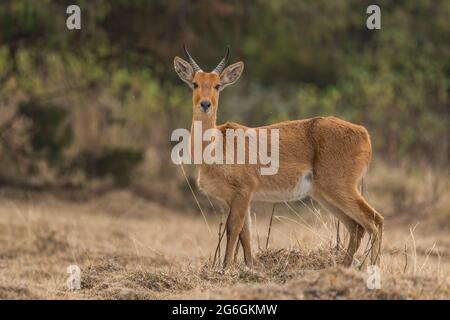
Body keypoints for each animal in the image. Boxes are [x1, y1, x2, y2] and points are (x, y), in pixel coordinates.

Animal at [173, 46, 384, 268]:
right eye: (195, 83)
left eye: (217, 85)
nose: (205, 104)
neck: (216, 145)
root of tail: (364, 133)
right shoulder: (238, 198)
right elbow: (246, 235)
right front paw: (250, 268)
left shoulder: (242, 193)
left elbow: (232, 229)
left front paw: (225, 269)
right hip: (323, 194)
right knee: (356, 227)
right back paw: (345, 267)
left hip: (340, 188)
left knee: (374, 220)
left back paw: (373, 269)